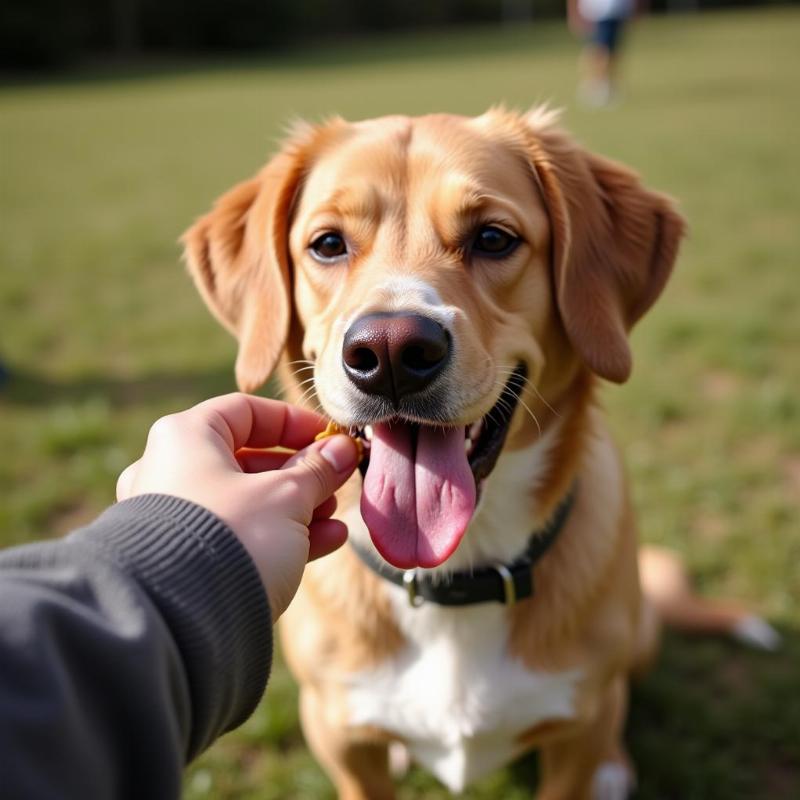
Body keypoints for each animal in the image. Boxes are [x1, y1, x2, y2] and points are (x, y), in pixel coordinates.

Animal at [183, 108, 780, 800]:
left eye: (494, 238)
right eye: (328, 244)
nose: (390, 351)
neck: (453, 574)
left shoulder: (576, 730)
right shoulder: (336, 734)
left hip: (636, 645)